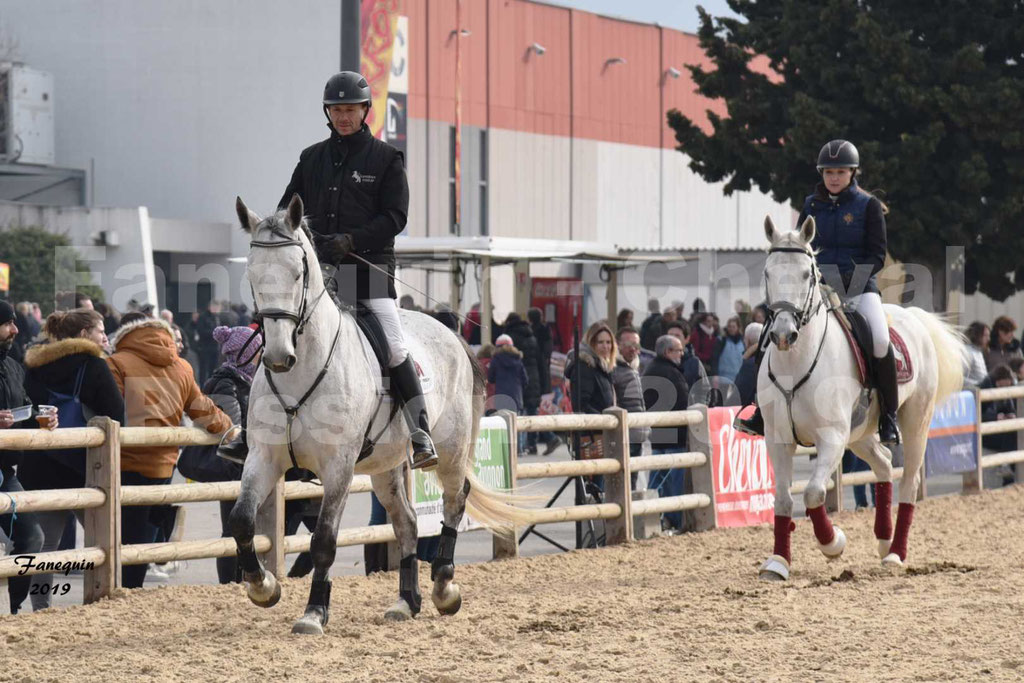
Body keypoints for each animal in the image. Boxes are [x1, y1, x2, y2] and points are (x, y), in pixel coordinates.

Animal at [230, 194, 528, 634]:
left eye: (298, 272)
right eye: (252, 273)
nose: (279, 356)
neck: (302, 372)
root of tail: (451, 334)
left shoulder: (338, 466)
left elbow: (324, 540)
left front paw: (314, 612)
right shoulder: (263, 458)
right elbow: (242, 521)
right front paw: (263, 586)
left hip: (451, 449)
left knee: (455, 501)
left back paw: (444, 588)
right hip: (385, 467)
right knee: (407, 522)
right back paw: (407, 601)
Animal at [757, 216, 962, 581]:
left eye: (807, 274)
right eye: (768, 272)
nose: (783, 335)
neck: (795, 364)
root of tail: (914, 316)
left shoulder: (831, 438)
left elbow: (812, 492)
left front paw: (833, 543)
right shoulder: (777, 438)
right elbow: (782, 500)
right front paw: (778, 563)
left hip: (914, 424)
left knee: (908, 482)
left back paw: (895, 553)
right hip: (860, 433)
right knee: (883, 463)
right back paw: (883, 538)